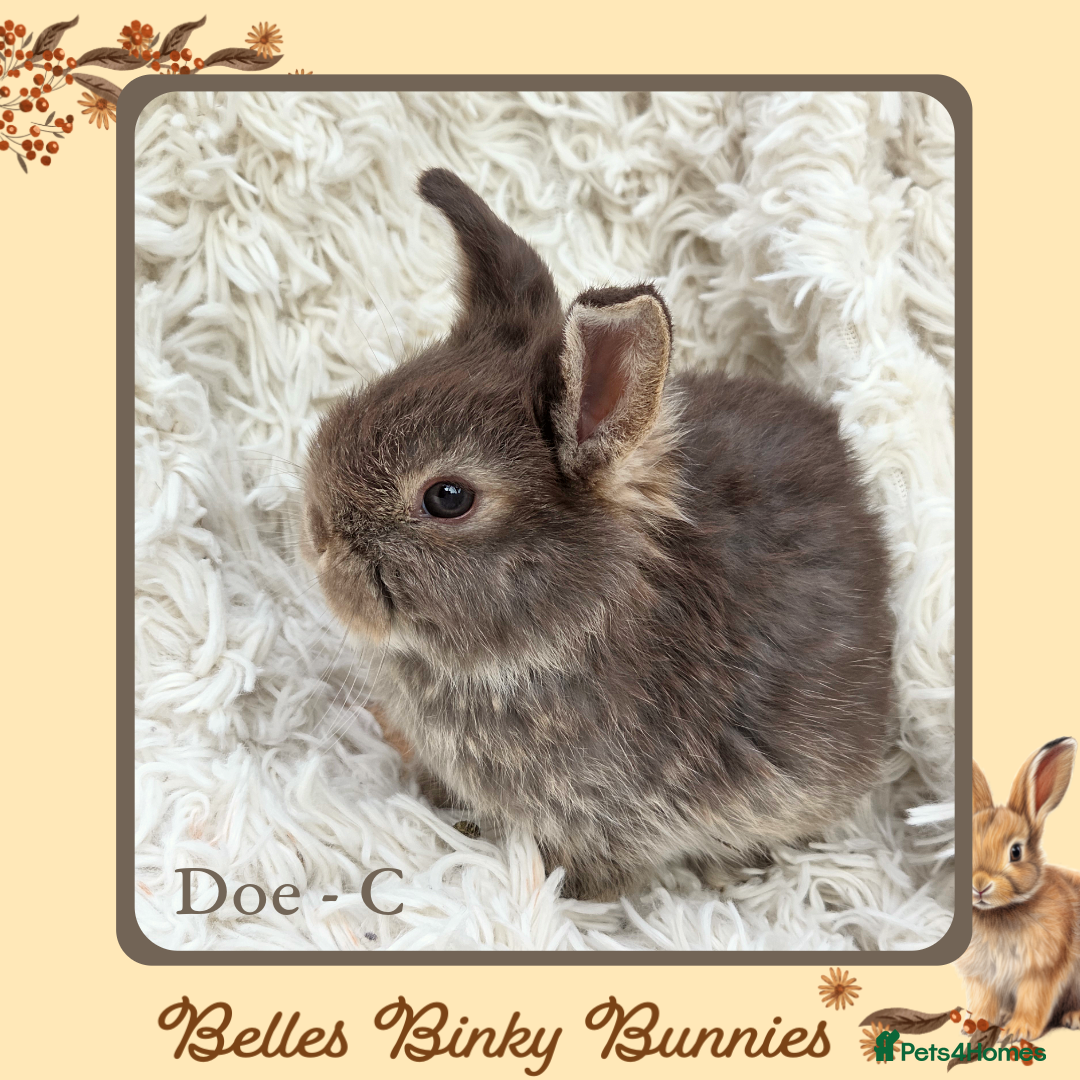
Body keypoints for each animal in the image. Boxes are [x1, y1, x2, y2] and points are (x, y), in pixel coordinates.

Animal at [957, 738, 1080, 1041]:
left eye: (1015, 851)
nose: (979, 885)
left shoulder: (1041, 971)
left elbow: (1033, 1001)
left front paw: (1016, 1032)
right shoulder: (983, 976)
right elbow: (983, 1001)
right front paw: (973, 1025)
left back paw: (1073, 1017)